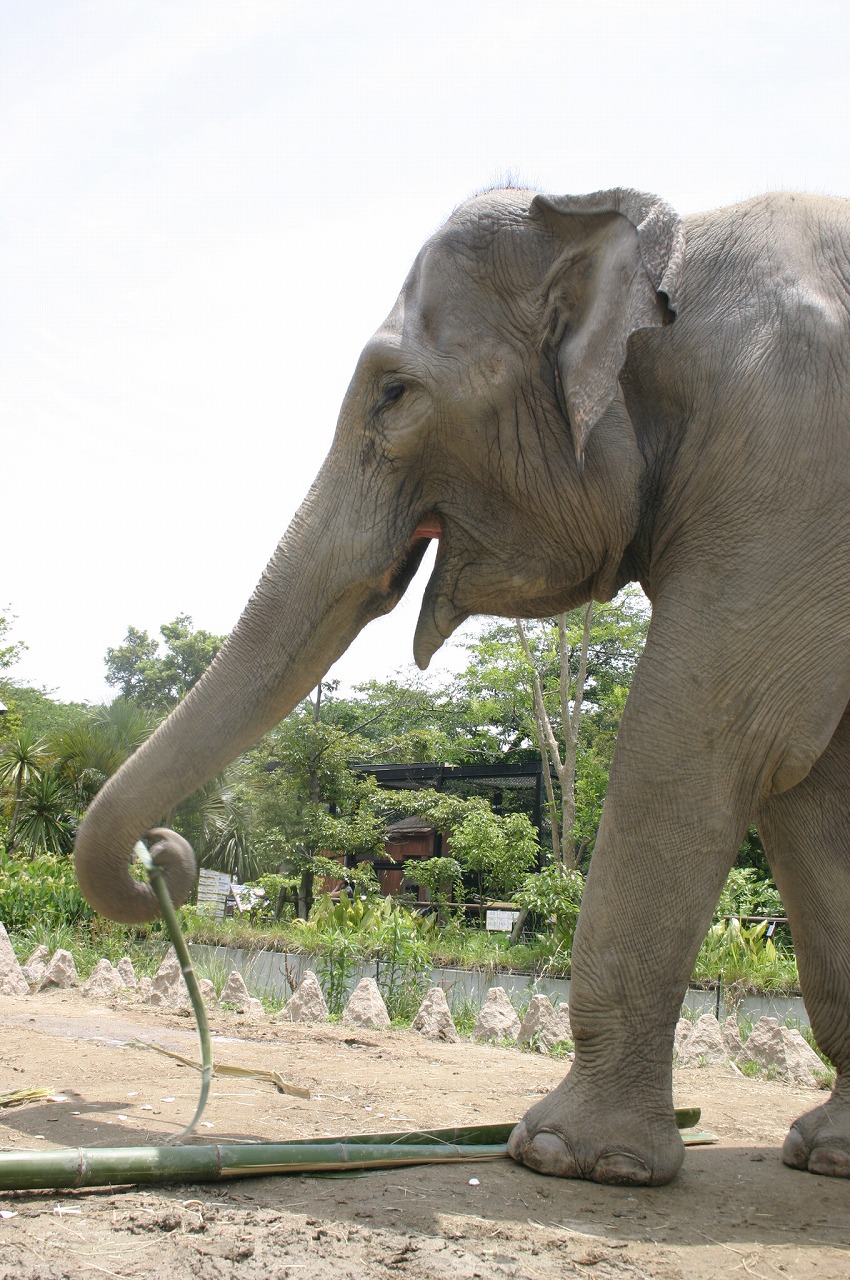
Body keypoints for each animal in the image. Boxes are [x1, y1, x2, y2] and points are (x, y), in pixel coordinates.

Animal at [76, 185, 850, 1182]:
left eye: (393, 393)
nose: (163, 858)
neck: (669, 243)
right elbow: (808, 775)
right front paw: (826, 1154)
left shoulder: (792, 460)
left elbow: (708, 729)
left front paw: (568, 1157)